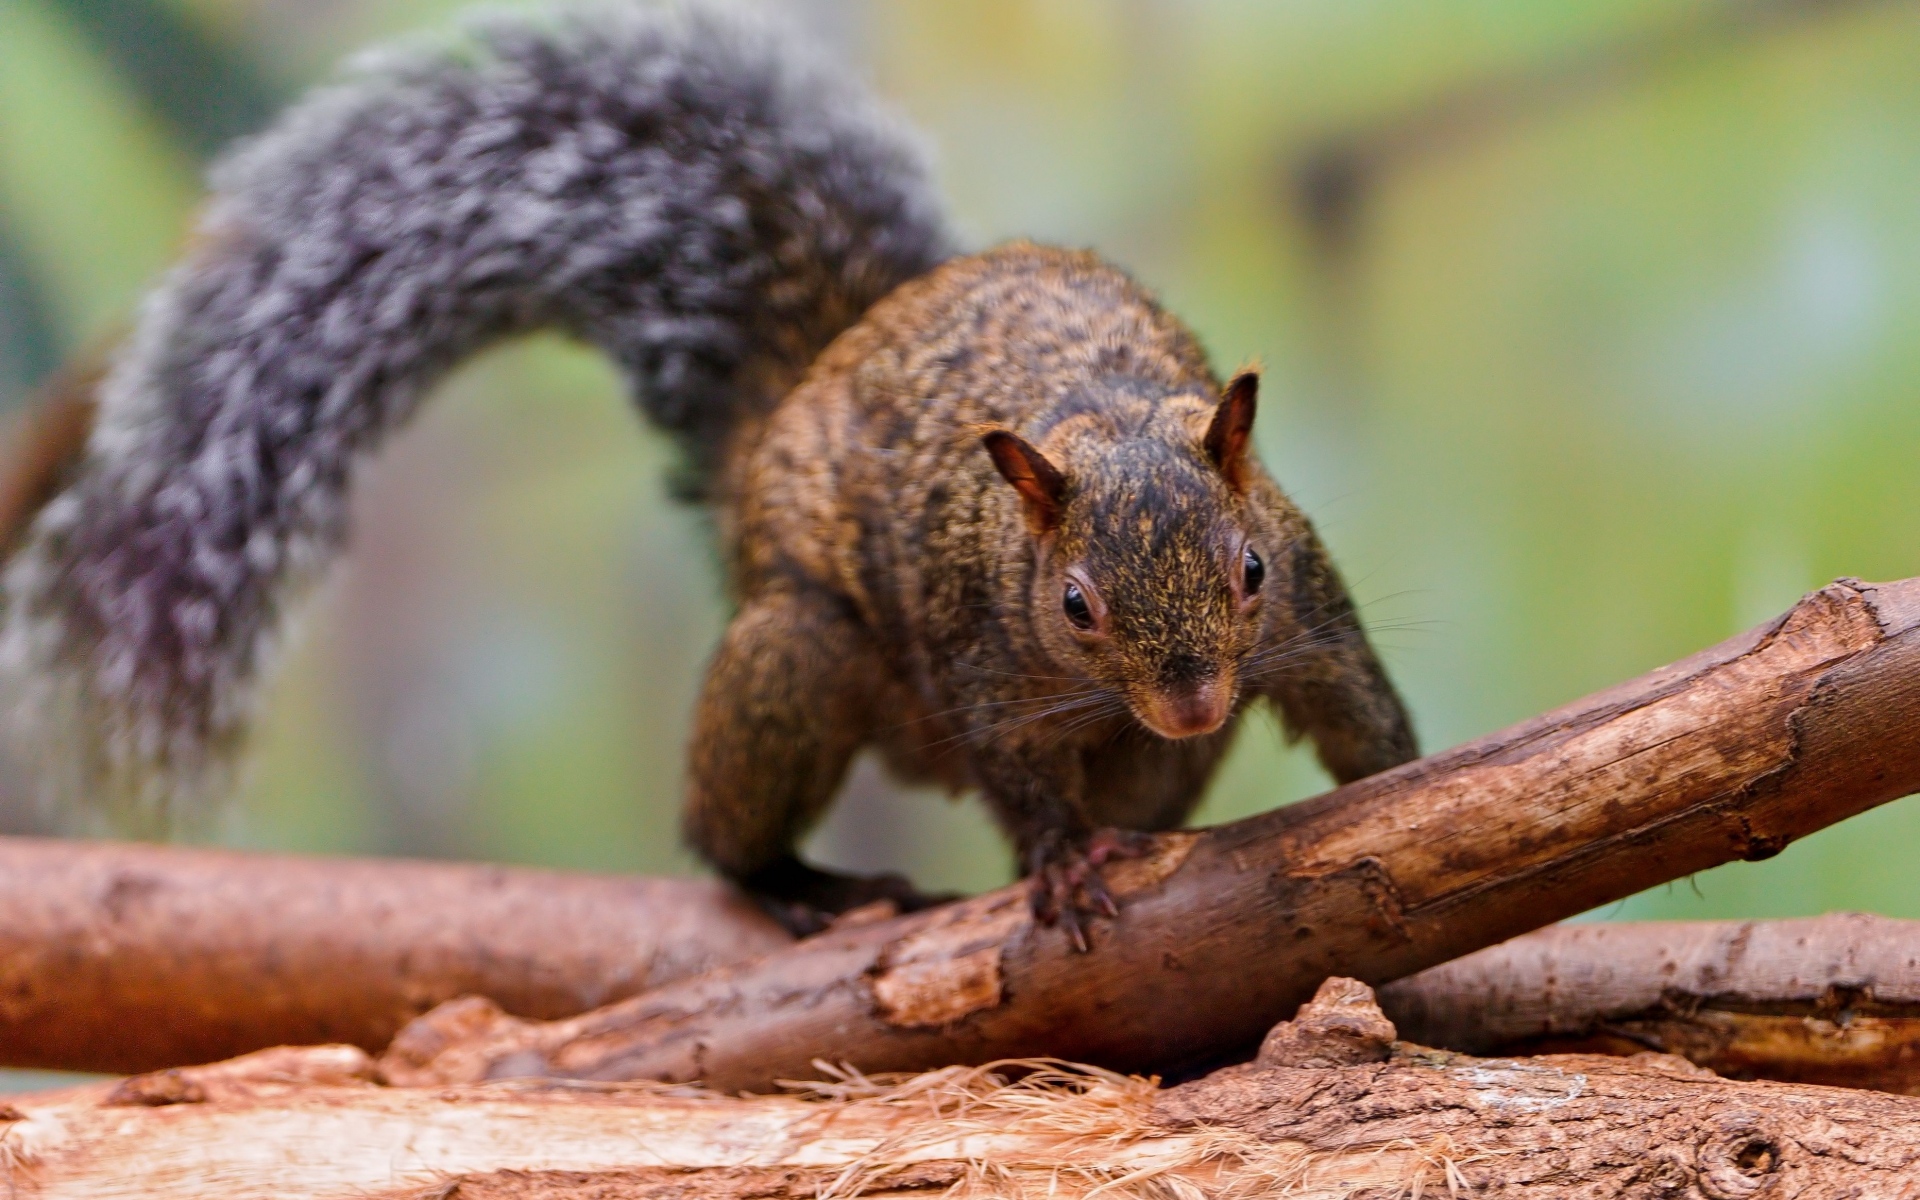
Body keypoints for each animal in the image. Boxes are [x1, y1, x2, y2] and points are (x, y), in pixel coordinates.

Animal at [0, 3, 1416, 945]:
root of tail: (789, 401)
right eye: (1074, 606)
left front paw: (1409, 797)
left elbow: (1357, 708)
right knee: (726, 832)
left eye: (1247, 570)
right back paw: (803, 882)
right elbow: (1020, 777)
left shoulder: (1310, 605)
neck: (1102, 413)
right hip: (798, 657)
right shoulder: (979, 652)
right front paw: (1061, 863)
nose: (1190, 700)